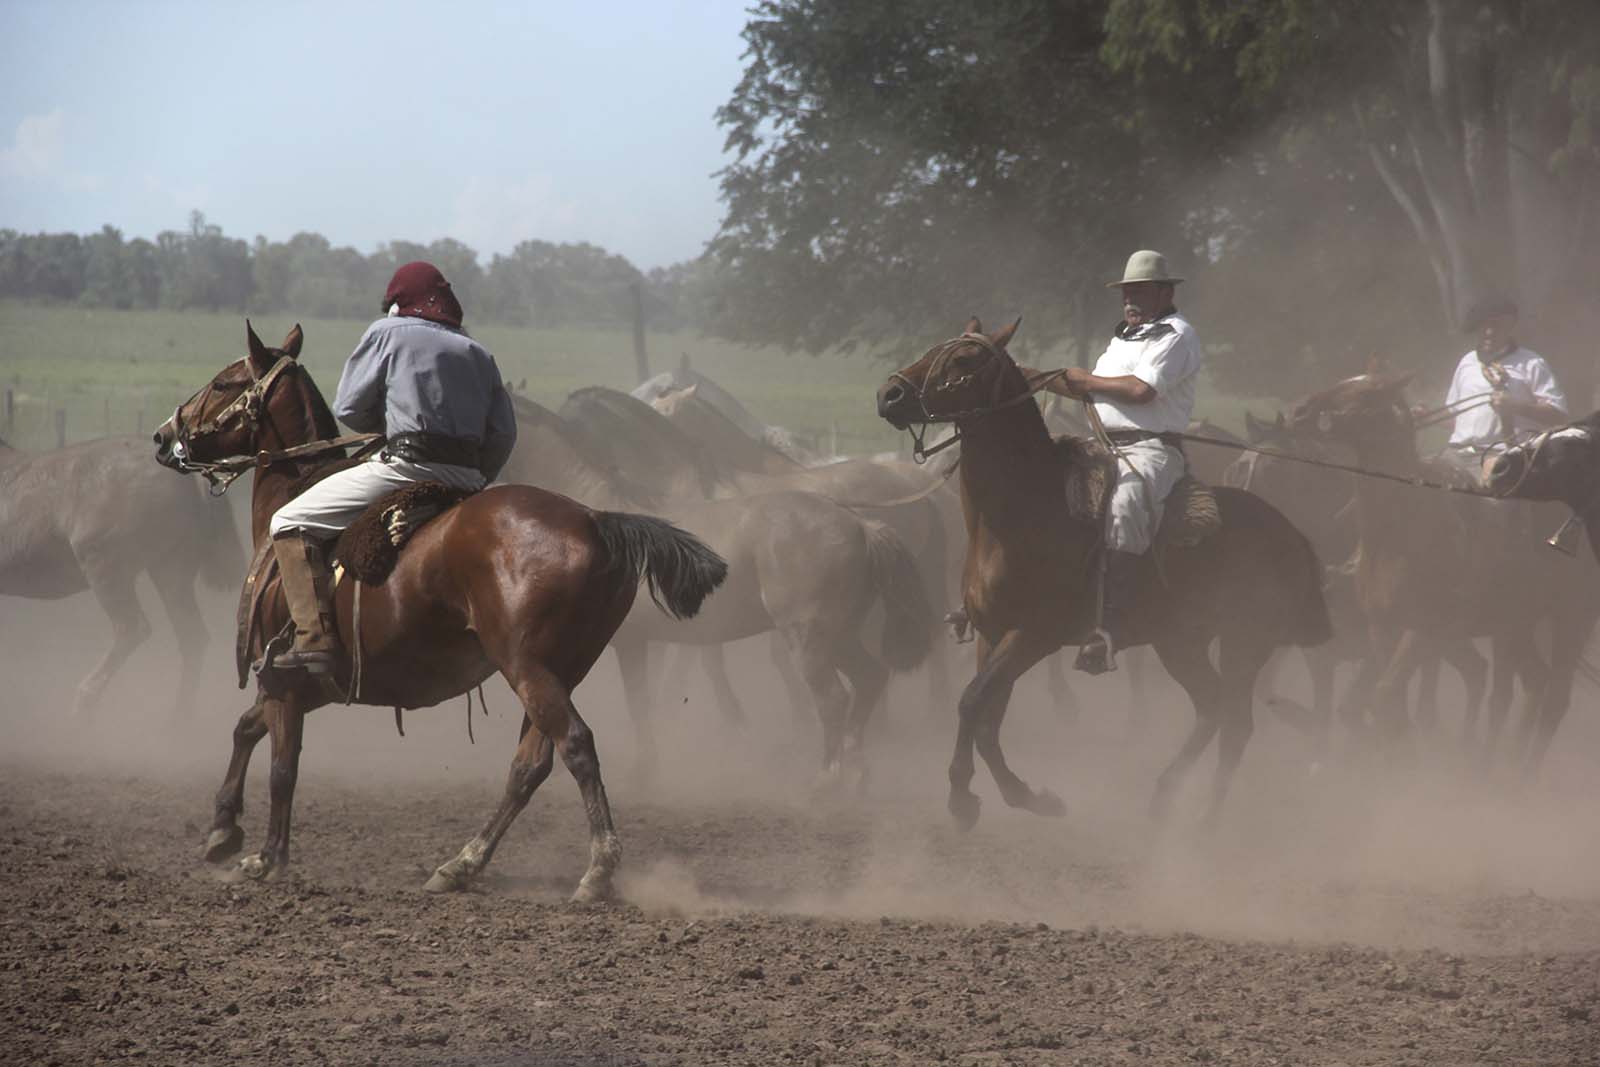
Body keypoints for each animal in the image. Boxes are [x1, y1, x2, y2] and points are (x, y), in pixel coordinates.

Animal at [0, 431, 243, 716]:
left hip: (105, 568)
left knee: (133, 628)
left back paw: (85, 701)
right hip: (170, 570)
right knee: (192, 637)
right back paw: (179, 718)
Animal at [150, 321, 726, 895]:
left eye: (223, 384)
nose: (162, 436)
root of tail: (595, 520)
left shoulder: (287, 682)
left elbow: (282, 767)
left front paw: (268, 856)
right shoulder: (308, 684)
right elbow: (246, 729)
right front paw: (223, 829)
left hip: (526, 668)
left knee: (576, 746)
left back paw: (598, 869)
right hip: (561, 670)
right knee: (530, 765)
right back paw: (463, 863)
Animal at [876, 321, 1324, 831]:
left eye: (964, 360)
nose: (889, 394)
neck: (1022, 514)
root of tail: (1293, 534)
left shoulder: (1035, 635)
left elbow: (973, 701)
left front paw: (965, 799)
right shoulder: (993, 634)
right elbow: (987, 718)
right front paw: (1024, 796)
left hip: (1244, 643)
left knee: (1235, 721)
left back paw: (1205, 822)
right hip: (1181, 642)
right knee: (1212, 708)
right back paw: (1165, 797)